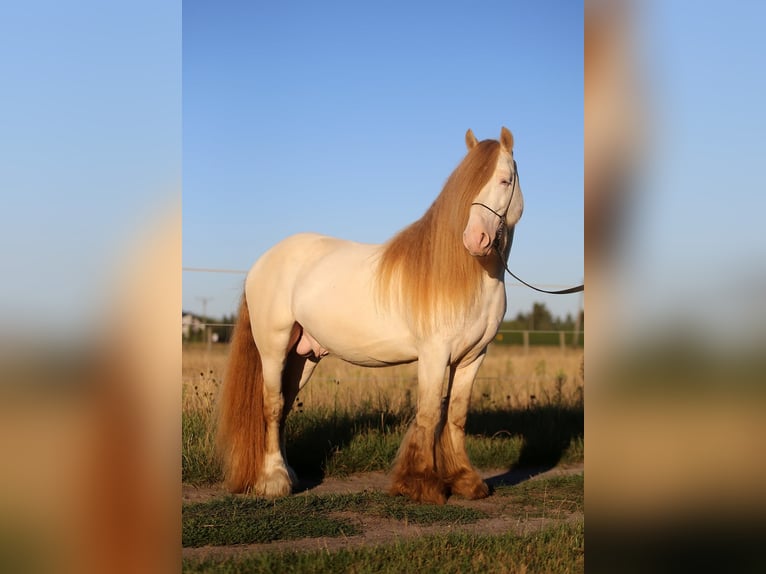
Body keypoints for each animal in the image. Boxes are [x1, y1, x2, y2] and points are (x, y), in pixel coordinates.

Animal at [219, 128, 524, 506]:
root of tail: (262, 262)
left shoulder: (473, 358)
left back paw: (288, 474)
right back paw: (274, 481)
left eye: (505, 180)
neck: (474, 278)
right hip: (273, 348)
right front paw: (421, 484)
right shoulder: (435, 356)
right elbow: (429, 414)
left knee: (285, 407)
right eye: (466, 186)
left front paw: (466, 482)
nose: (475, 239)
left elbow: (455, 415)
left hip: (303, 357)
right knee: (272, 406)